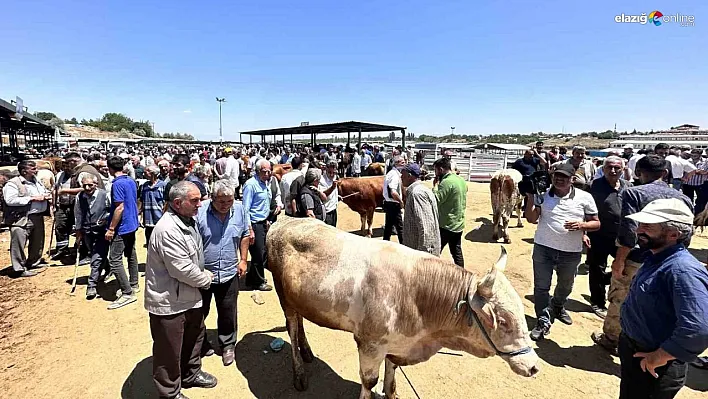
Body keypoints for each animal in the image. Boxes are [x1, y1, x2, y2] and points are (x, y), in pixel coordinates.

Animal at [268, 219, 540, 399]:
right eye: (503, 321)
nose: (534, 366)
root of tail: (284, 221)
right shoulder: (370, 344)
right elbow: (370, 381)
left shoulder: (397, 344)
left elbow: (391, 376)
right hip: (283, 296)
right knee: (292, 328)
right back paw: (299, 373)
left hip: (298, 298)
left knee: (300, 323)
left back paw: (307, 352)